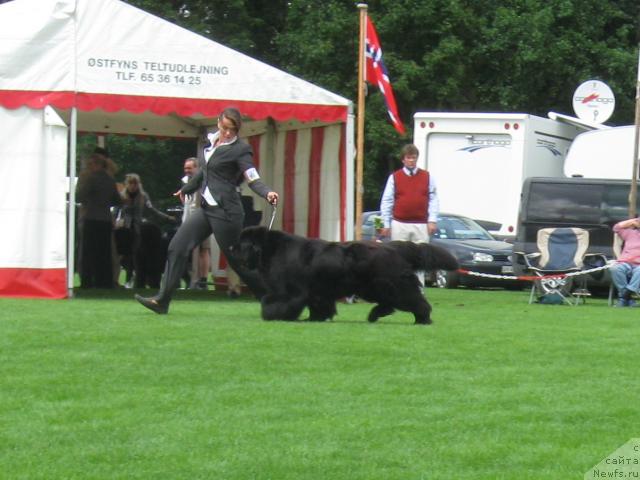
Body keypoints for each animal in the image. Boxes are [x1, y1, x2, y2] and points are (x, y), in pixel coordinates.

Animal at [235, 227, 460, 324]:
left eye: (242, 244)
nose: (230, 247)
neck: (270, 250)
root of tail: (394, 247)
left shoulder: (290, 292)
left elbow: (270, 301)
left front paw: (273, 315)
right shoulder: (317, 292)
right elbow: (319, 306)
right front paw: (315, 319)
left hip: (392, 285)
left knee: (416, 302)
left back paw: (422, 319)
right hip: (374, 287)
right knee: (390, 303)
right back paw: (374, 315)